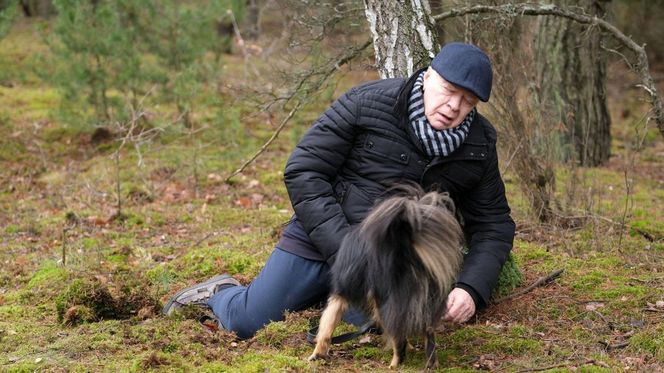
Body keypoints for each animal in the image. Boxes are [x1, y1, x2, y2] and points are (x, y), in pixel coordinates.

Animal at [308, 185, 464, 368]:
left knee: (398, 339)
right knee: (429, 336)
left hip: (386, 305)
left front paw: (317, 354)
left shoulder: (339, 296)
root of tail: (405, 254)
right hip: (425, 306)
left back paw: (394, 364)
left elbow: (326, 328)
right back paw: (431, 365)